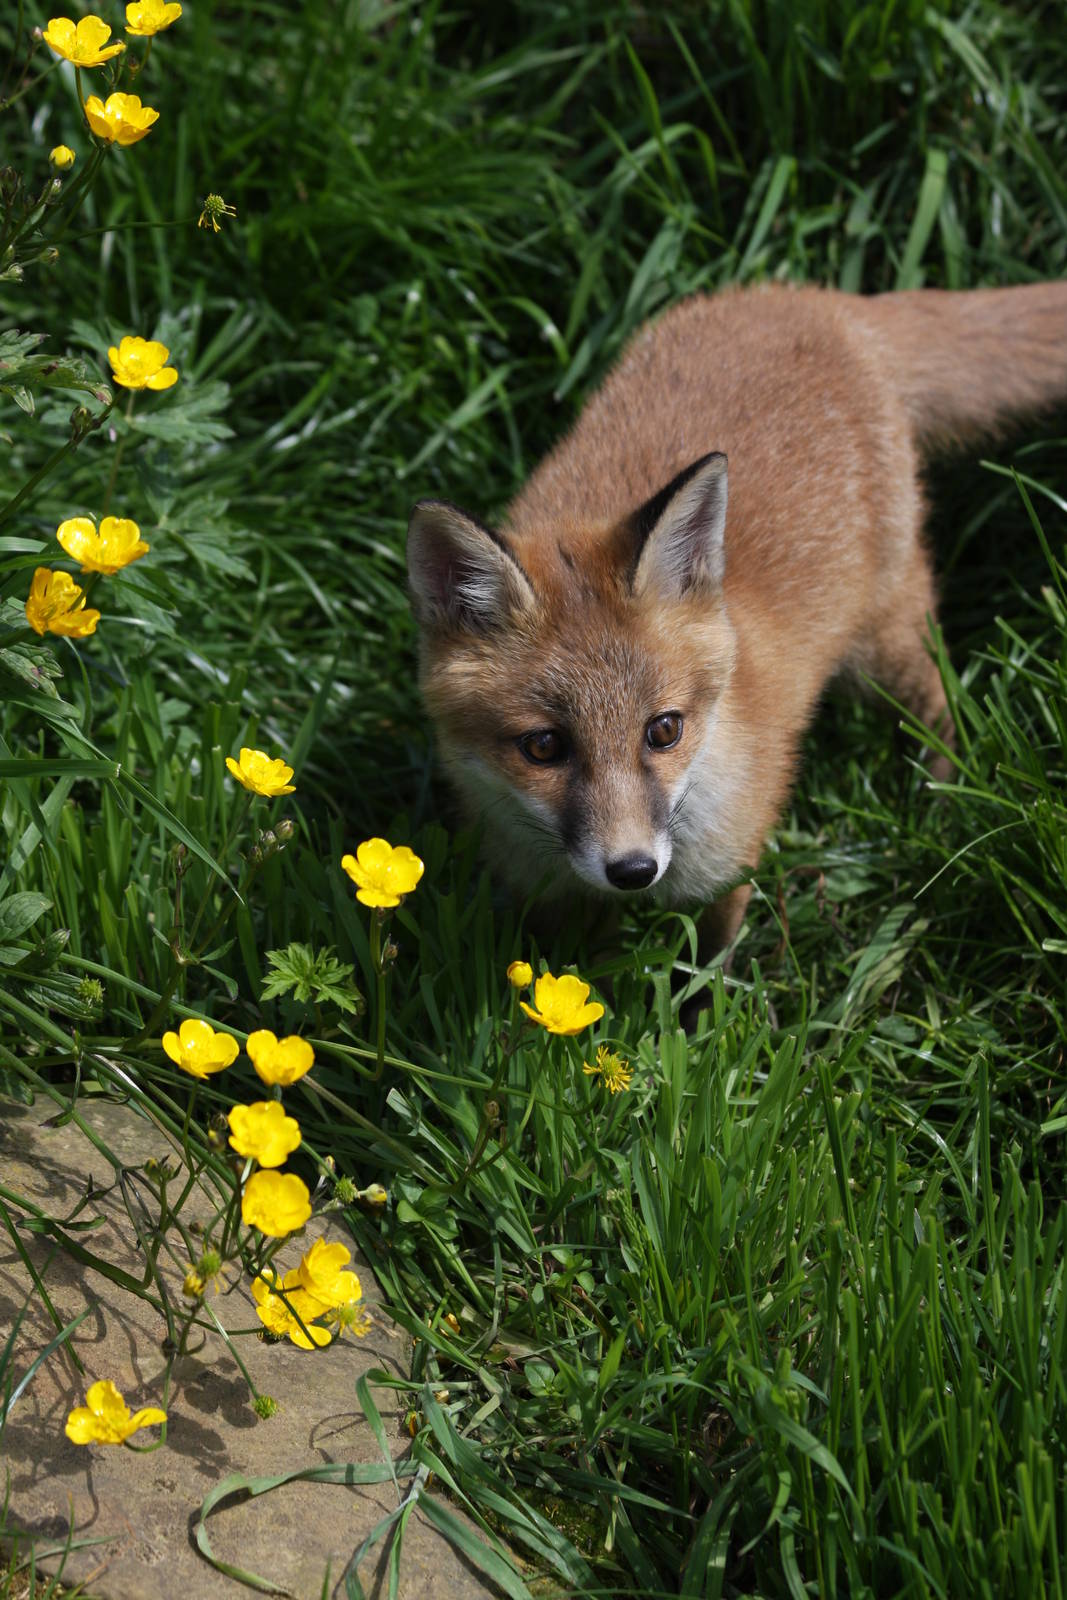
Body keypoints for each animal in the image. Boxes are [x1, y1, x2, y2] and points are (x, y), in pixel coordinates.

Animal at [406, 282, 1067, 953]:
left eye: (664, 730)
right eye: (543, 746)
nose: (633, 870)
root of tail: (824, 301)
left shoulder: (731, 867)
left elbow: (712, 962)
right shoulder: (538, 890)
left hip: (884, 647)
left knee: (936, 698)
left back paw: (938, 795)